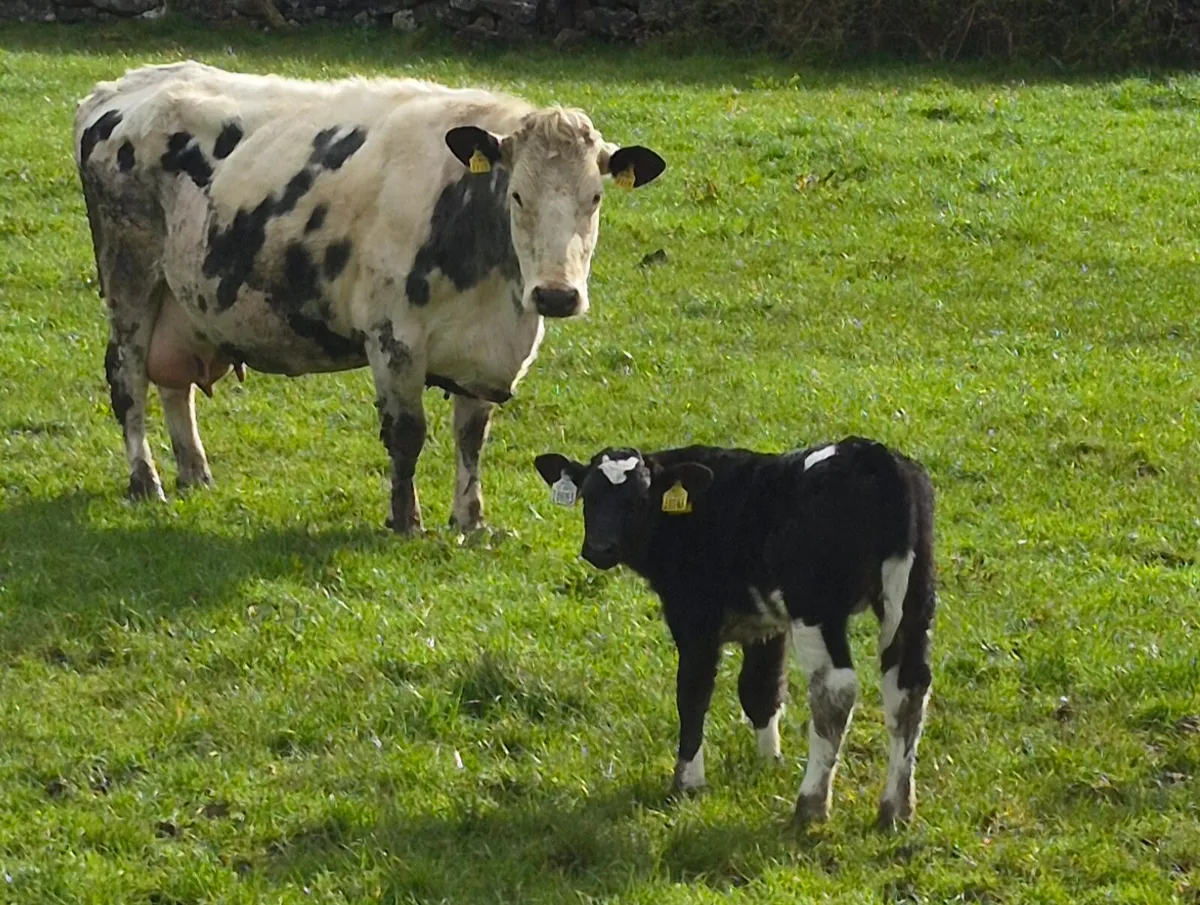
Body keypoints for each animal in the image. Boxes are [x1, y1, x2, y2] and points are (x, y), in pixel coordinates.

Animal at [73, 61, 665, 533]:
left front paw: (471, 522)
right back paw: (145, 480)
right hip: (129, 278)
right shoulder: (393, 338)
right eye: (517, 194)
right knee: (127, 376)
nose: (558, 294)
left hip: (182, 298)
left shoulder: (486, 357)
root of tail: (123, 85)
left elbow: (471, 437)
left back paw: (195, 472)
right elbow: (407, 434)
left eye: (594, 198)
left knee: (173, 384)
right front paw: (406, 522)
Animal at [533, 437, 936, 828]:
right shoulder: (766, 624)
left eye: (639, 500)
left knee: (835, 691)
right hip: (912, 598)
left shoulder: (695, 618)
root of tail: (874, 456)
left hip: (816, 605)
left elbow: (693, 692)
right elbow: (760, 690)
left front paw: (688, 781)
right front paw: (769, 762)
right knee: (908, 687)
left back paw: (811, 804)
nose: (599, 548)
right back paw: (896, 808)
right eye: (588, 495)